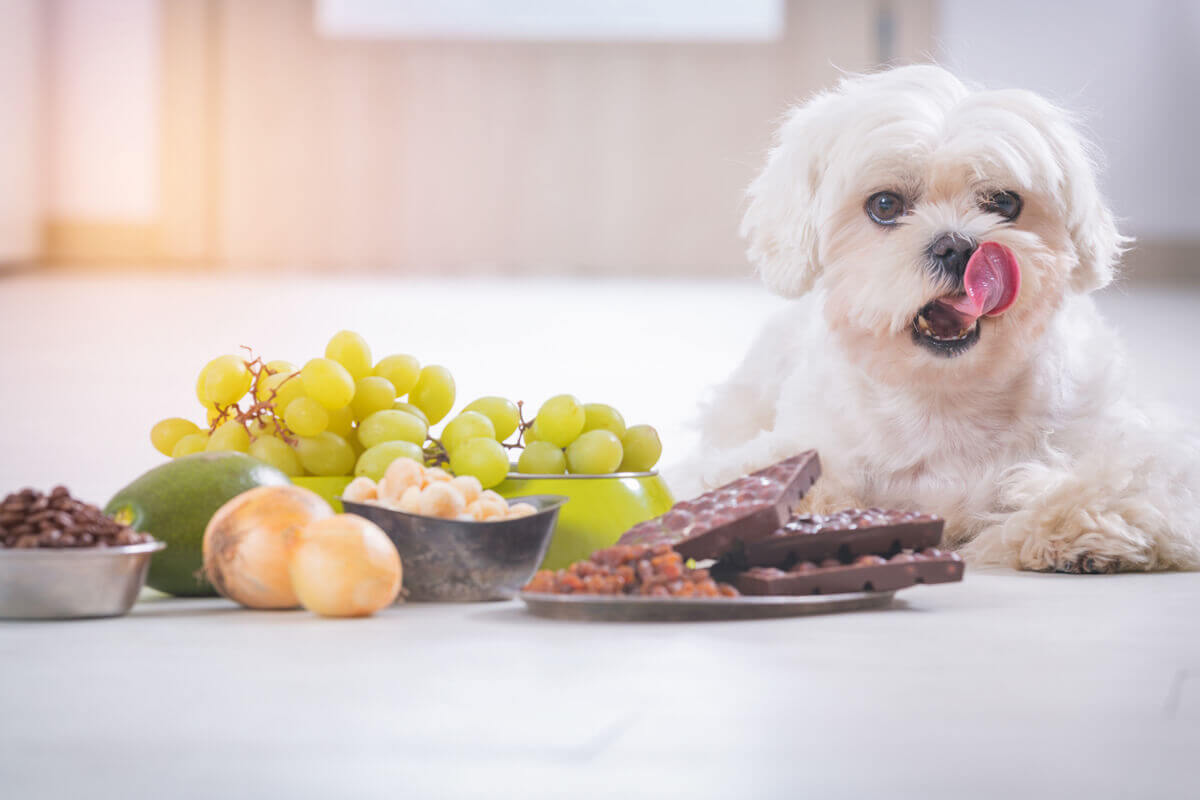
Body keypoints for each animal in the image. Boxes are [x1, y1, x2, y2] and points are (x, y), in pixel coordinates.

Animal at [686, 65, 1200, 573]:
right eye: (885, 205)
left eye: (1004, 202)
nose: (957, 246)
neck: (943, 397)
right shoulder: (798, 445)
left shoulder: (1130, 447)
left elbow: (1119, 481)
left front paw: (1076, 527)